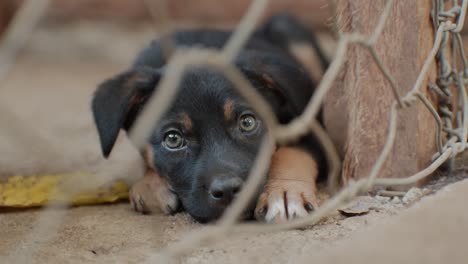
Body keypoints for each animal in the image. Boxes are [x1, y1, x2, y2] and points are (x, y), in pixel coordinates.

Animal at [92, 14, 330, 223]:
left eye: (247, 122)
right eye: (172, 139)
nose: (227, 191)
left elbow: (291, 154)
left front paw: (285, 192)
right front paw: (149, 185)